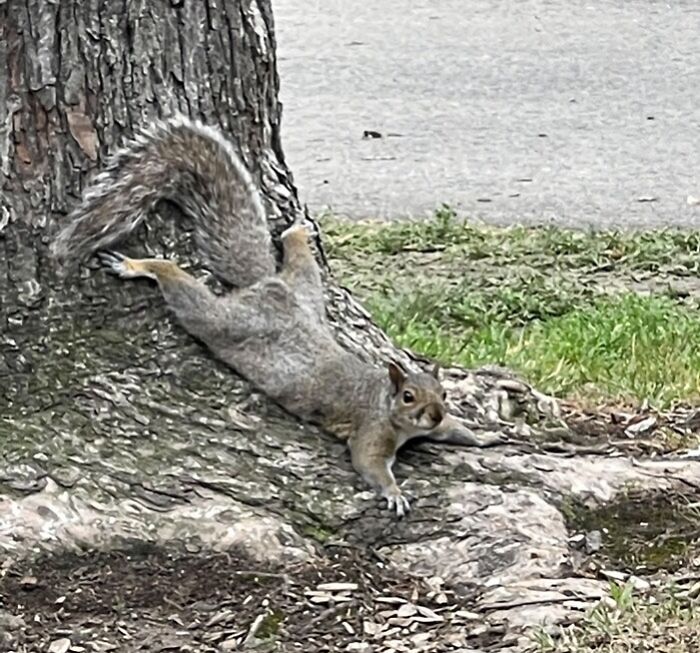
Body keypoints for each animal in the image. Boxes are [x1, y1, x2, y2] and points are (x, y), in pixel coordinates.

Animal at [51, 114, 504, 517]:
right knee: (180, 285)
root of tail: (264, 287)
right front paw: (393, 493)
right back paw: (136, 266)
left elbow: (457, 431)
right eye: (408, 396)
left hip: (307, 293)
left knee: (297, 257)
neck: (391, 408)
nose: (434, 412)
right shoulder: (371, 433)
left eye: (443, 395)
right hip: (219, 320)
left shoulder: (433, 427)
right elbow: (369, 465)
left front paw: (487, 436)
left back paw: (296, 229)